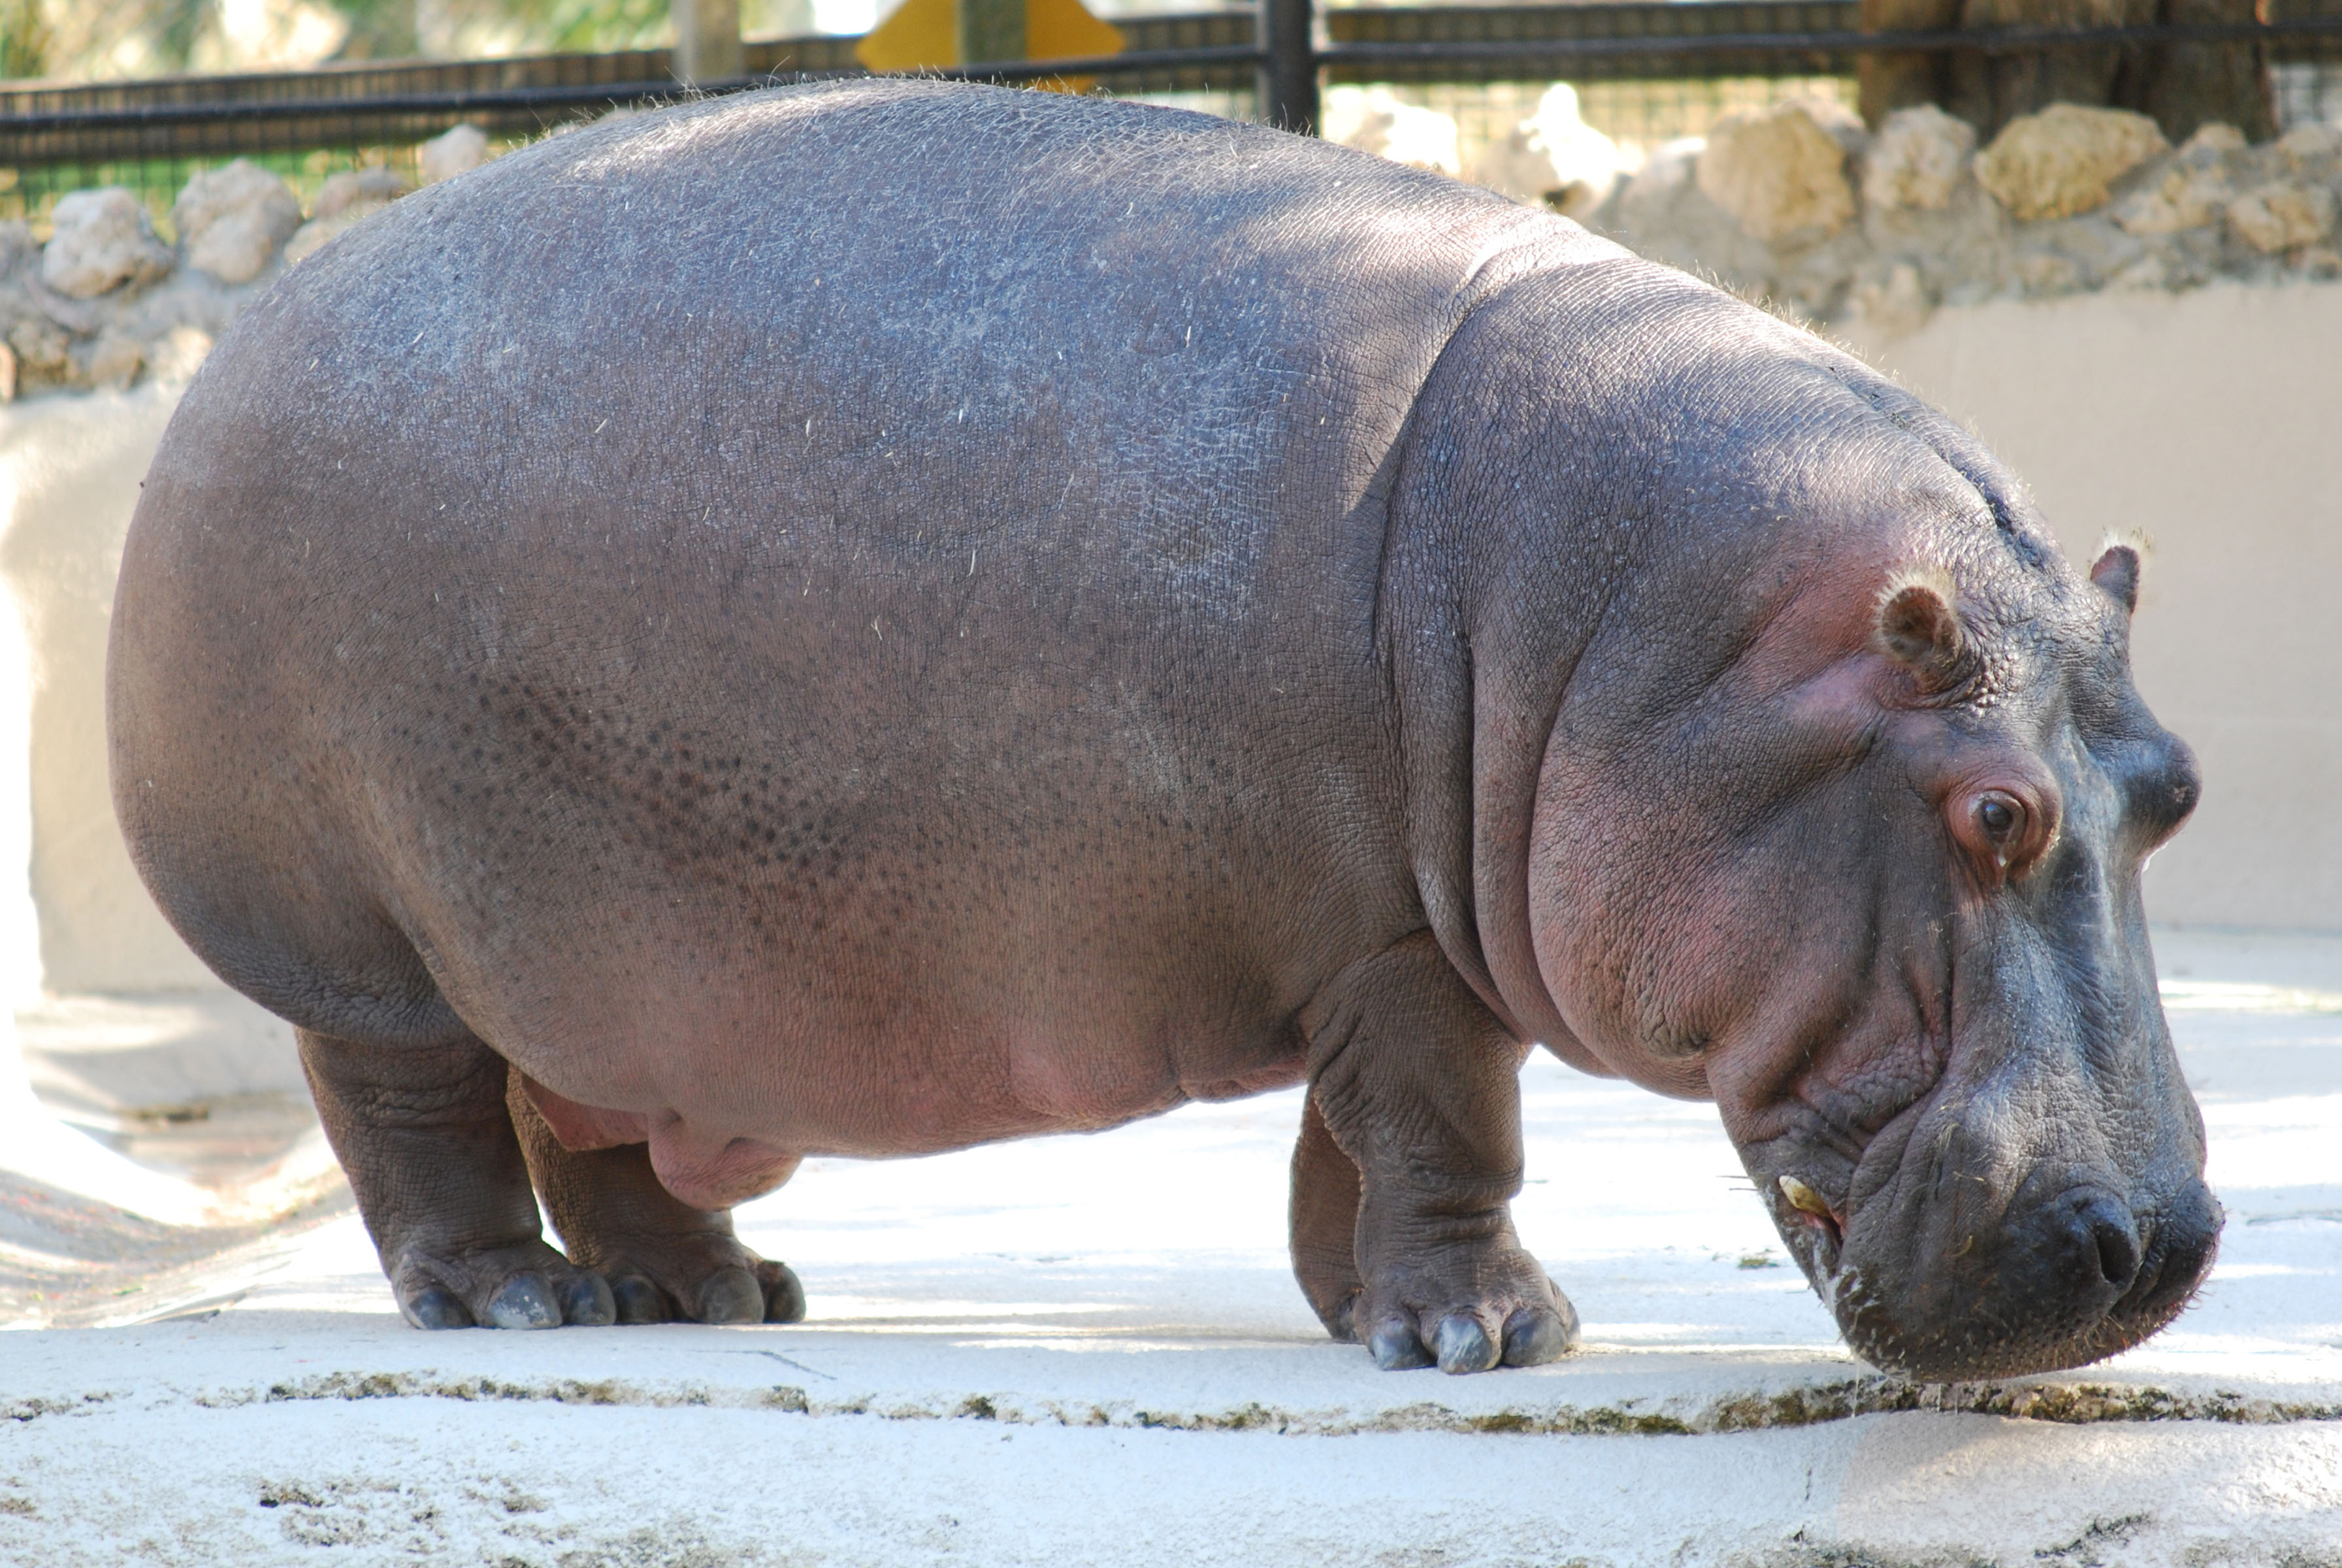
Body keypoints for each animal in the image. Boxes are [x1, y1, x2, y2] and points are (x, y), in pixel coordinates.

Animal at [108, 79, 2217, 1378]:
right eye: (1995, 813)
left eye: (2172, 791)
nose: (2165, 1241)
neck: (1658, 628)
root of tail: (233, 351)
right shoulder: (1393, 941)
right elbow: (1445, 1126)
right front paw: (1494, 1337)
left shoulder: (1373, 933)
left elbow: (1353, 1148)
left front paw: (1376, 1315)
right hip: (367, 944)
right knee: (420, 1123)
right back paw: (523, 1306)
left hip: (604, 964)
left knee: (596, 1121)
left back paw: (714, 1291)